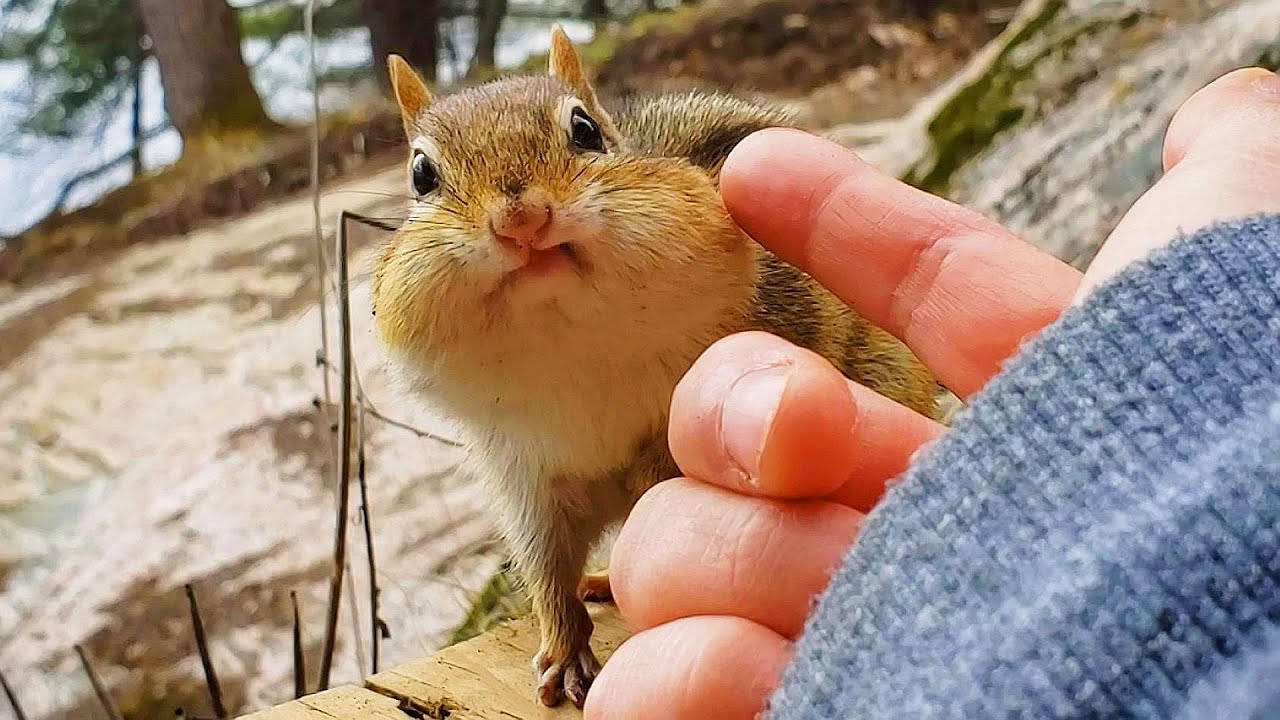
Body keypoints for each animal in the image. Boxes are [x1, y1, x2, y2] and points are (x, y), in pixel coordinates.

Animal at [372, 26, 941, 710]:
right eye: (421, 174)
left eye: (586, 130)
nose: (521, 220)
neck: (573, 355)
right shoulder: (525, 473)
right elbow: (544, 567)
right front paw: (564, 650)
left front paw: (650, 465)